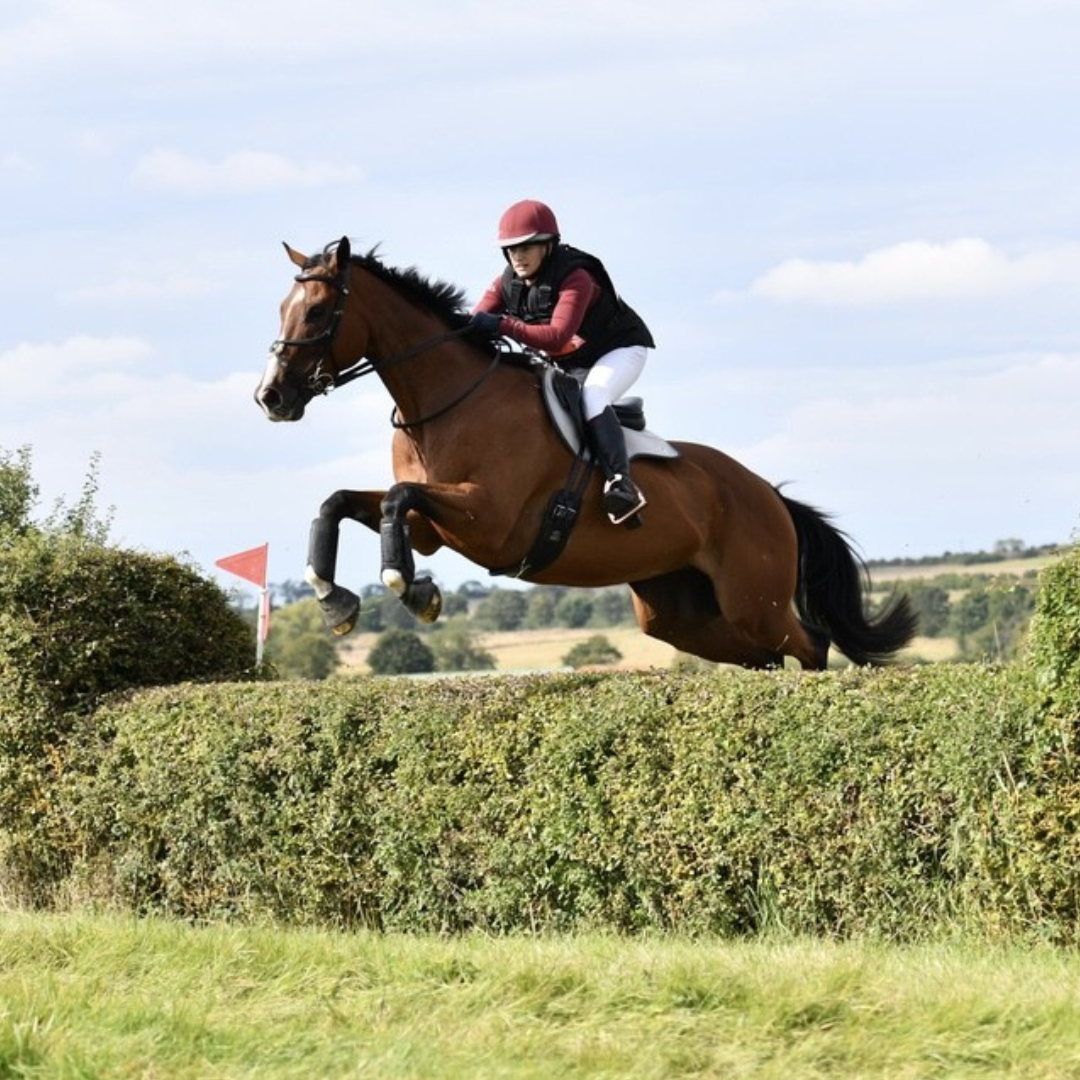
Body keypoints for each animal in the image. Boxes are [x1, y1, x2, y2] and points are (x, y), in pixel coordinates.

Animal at [255, 236, 916, 669]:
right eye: (281, 309)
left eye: (318, 311)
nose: (271, 397)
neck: (443, 403)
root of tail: (771, 497)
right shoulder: (433, 529)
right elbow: (342, 501)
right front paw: (336, 600)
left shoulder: (487, 521)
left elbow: (396, 497)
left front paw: (410, 589)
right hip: (680, 613)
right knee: (762, 657)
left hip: (754, 598)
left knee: (810, 645)